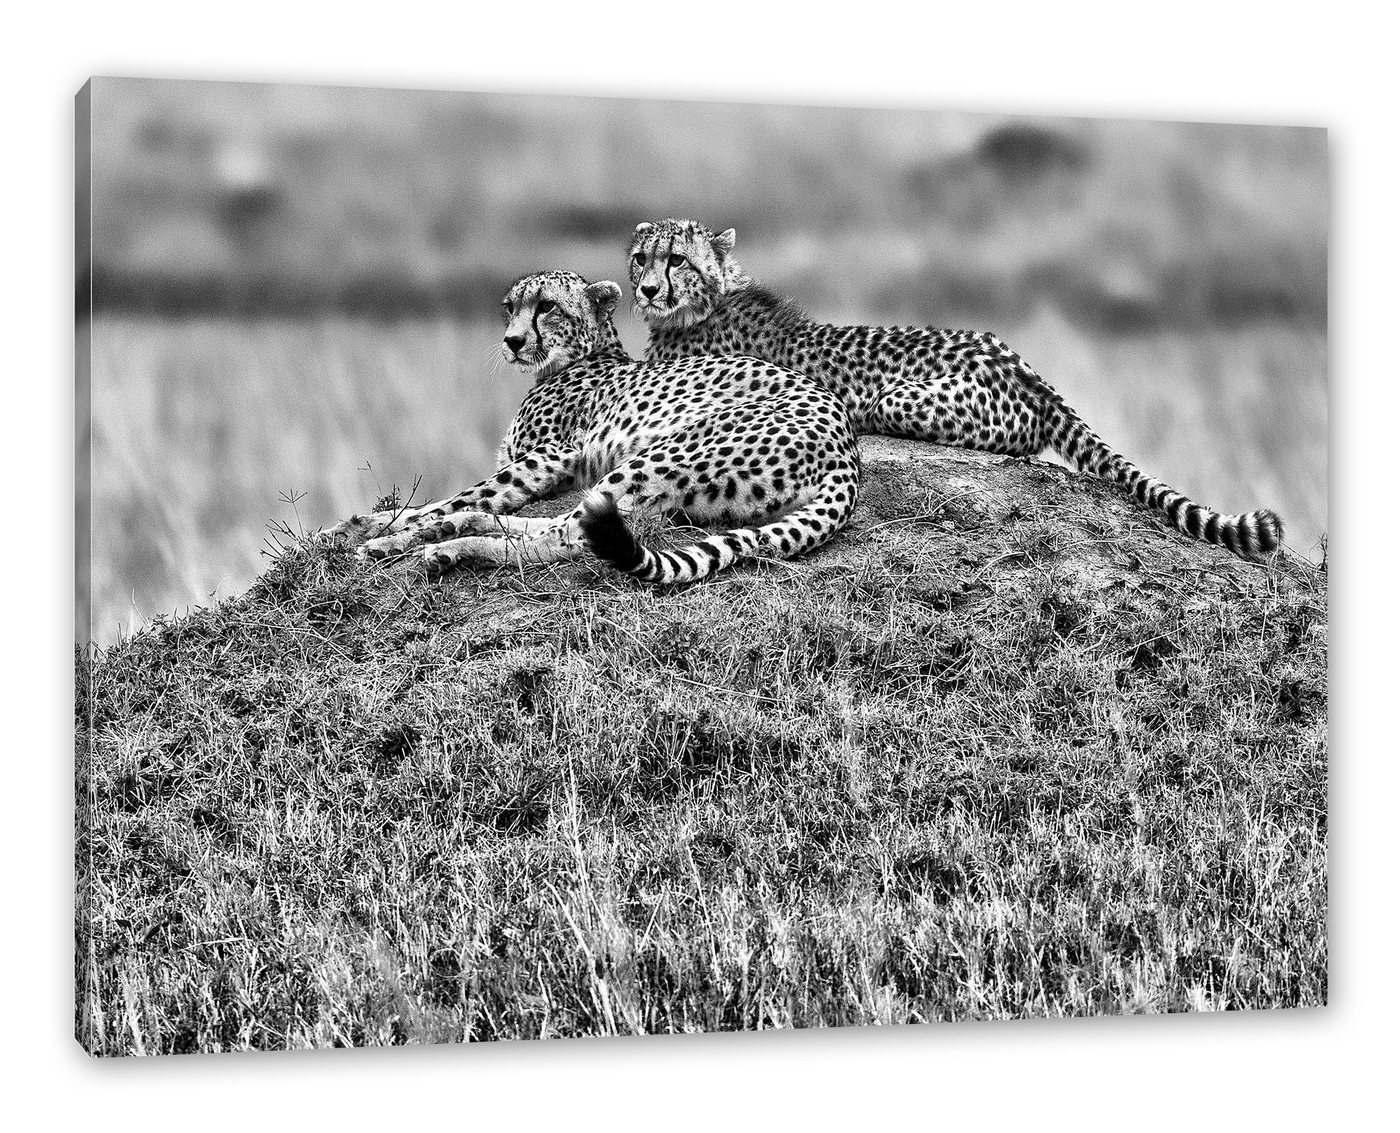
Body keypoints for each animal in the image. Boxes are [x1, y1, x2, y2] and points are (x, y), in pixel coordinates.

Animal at [322, 268, 856, 579]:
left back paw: (448, 546)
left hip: (665, 453)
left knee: (570, 537)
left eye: (546, 307)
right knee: (566, 523)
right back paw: (454, 533)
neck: (579, 355)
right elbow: (440, 500)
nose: (512, 341)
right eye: (509, 307)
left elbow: (450, 498)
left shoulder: (549, 455)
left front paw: (385, 533)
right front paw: (354, 526)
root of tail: (846, 448)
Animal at [630, 217, 1282, 557]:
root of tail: (1024, 367)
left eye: (678, 260)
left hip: (902, 399)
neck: (709, 298)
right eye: (641, 257)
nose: (647, 289)